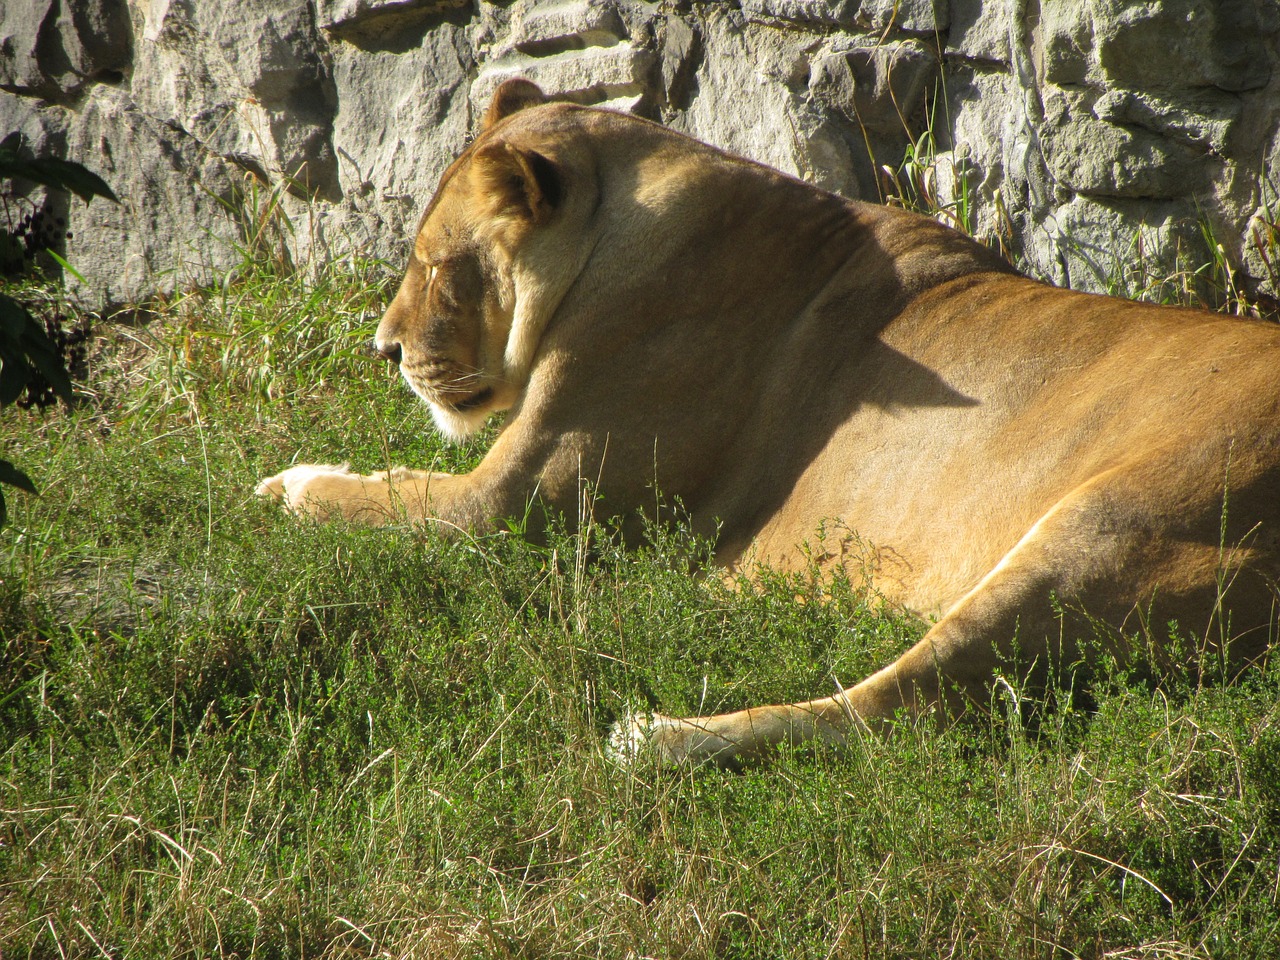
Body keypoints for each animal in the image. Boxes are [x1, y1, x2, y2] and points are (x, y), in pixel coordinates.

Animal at [254, 79, 1280, 773]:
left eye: (439, 267)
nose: (382, 350)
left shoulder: (517, 507)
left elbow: (383, 503)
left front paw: (288, 483)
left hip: (1102, 532)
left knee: (892, 714)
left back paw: (654, 737)